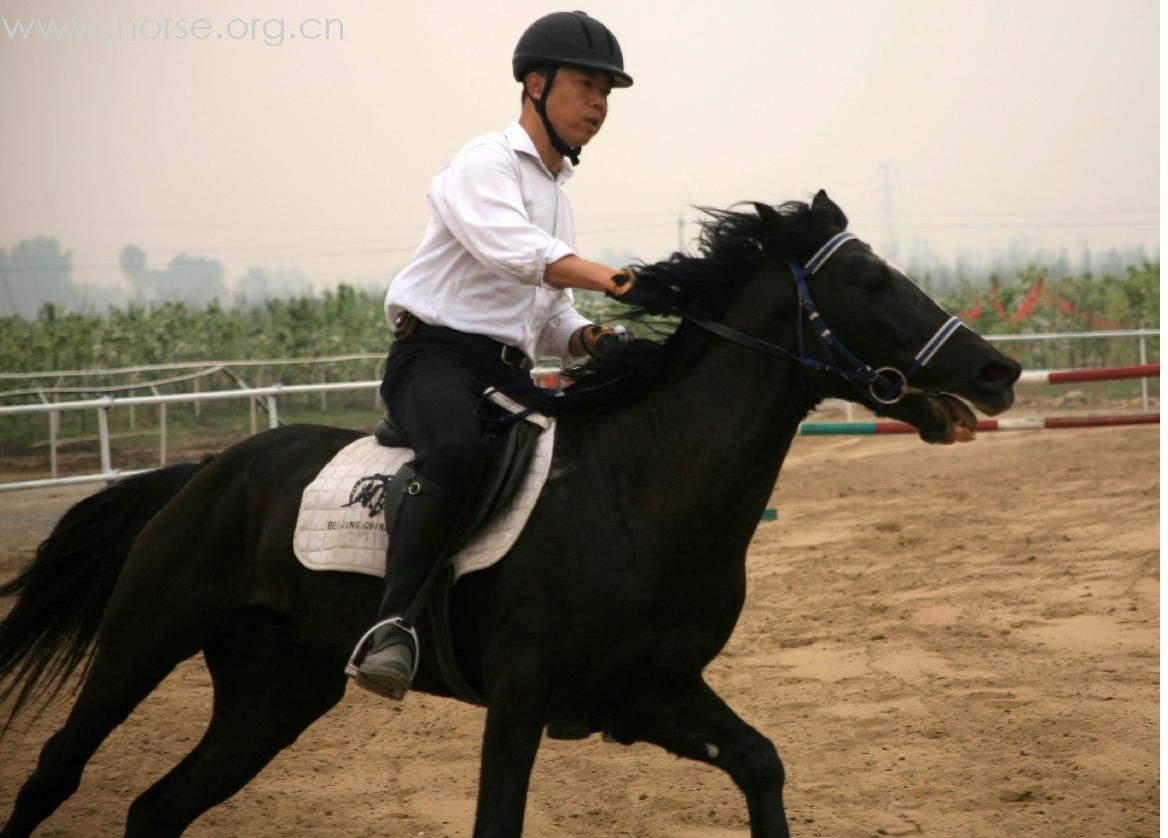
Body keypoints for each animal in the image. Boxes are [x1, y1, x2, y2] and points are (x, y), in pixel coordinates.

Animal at [0, 192, 1018, 832]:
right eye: (875, 283)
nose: (997, 369)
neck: (638, 493)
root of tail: (205, 473)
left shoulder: (648, 695)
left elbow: (763, 765)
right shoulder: (522, 701)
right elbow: (498, 820)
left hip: (275, 690)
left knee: (155, 811)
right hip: (144, 641)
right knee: (57, 770)